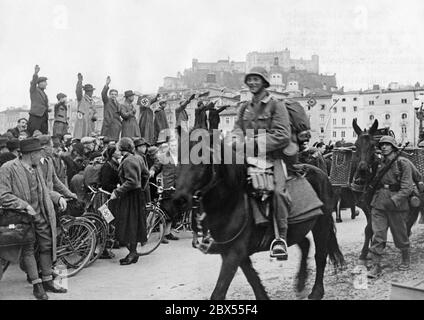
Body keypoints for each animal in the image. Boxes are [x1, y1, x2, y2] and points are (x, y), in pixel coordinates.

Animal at [174, 138, 342, 300]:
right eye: (178, 160)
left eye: (202, 160)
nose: (180, 200)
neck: (232, 200)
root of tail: (322, 174)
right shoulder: (235, 252)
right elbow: (253, 279)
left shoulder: (234, 253)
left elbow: (219, 292)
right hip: (294, 229)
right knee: (305, 244)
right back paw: (300, 284)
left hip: (321, 223)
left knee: (320, 255)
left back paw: (316, 292)